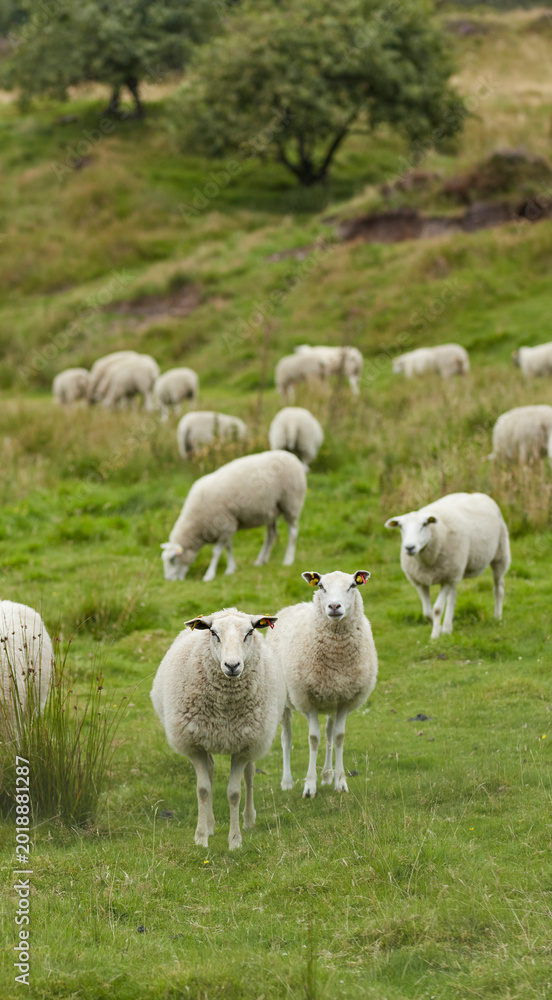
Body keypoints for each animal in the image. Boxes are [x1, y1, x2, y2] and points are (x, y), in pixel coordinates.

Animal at [151, 608, 285, 849]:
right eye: (213, 633)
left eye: (249, 632)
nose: (232, 666)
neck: (225, 709)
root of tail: (228, 610)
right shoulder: (194, 744)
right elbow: (203, 789)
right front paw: (201, 837)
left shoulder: (243, 746)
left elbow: (234, 793)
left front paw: (235, 841)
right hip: (207, 738)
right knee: (211, 771)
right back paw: (211, 823)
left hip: (252, 739)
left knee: (250, 774)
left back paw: (248, 819)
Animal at [161, 450, 307, 582]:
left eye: (172, 560)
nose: (168, 580)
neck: (197, 522)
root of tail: (292, 456)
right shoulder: (228, 527)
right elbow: (228, 548)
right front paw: (231, 569)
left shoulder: (225, 525)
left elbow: (216, 552)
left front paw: (209, 575)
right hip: (271, 510)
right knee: (271, 534)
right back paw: (261, 560)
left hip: (291, 502)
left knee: (293, 531)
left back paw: (288, 559)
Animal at [264, 570, 377, 799]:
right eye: (321, 586)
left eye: (353, 585)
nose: (334, 606)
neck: (337, 657)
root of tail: (292, 606)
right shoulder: (308, 701)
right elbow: (313, 738)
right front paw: (309, 786)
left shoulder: (344, 699)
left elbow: (338, 737)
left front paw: (340, 782)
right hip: (284, 701)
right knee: (286, 738)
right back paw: (287, 781)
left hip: (331, 701)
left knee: (329, 733)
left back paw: (326, 775)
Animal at [385, 492, 510, 640]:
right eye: (401, 527)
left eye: (424, 524)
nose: (410, 548)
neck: (427, 562)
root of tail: (477, 494)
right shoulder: (420, 582)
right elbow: (427, 612)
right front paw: (436, 627)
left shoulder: (446, 578)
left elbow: (437, 609)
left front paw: (435, 636)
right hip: (455, 571)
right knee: (453, 598)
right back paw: (447, 627)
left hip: (499, 556)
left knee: (498, 589)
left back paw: (498, 617)